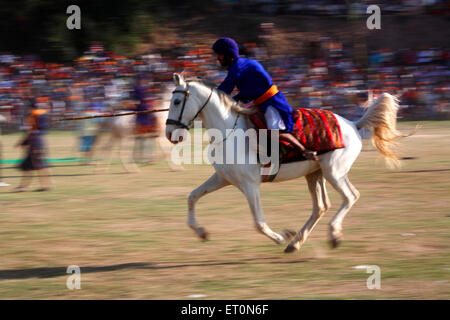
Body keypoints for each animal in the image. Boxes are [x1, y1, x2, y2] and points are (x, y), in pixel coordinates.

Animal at [165, 74, 408, 254]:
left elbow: (259, 222)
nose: (169, 133)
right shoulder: (223, 178)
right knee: (321, 206)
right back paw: (296, 242)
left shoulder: (249, 185)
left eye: (176, 101)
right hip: (315, 174)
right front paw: (201, 231)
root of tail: (353, 124)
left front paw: (280, 237)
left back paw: (332, 234)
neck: (229, 131)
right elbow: (192, 197)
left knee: (350, 196)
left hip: (334, 172)